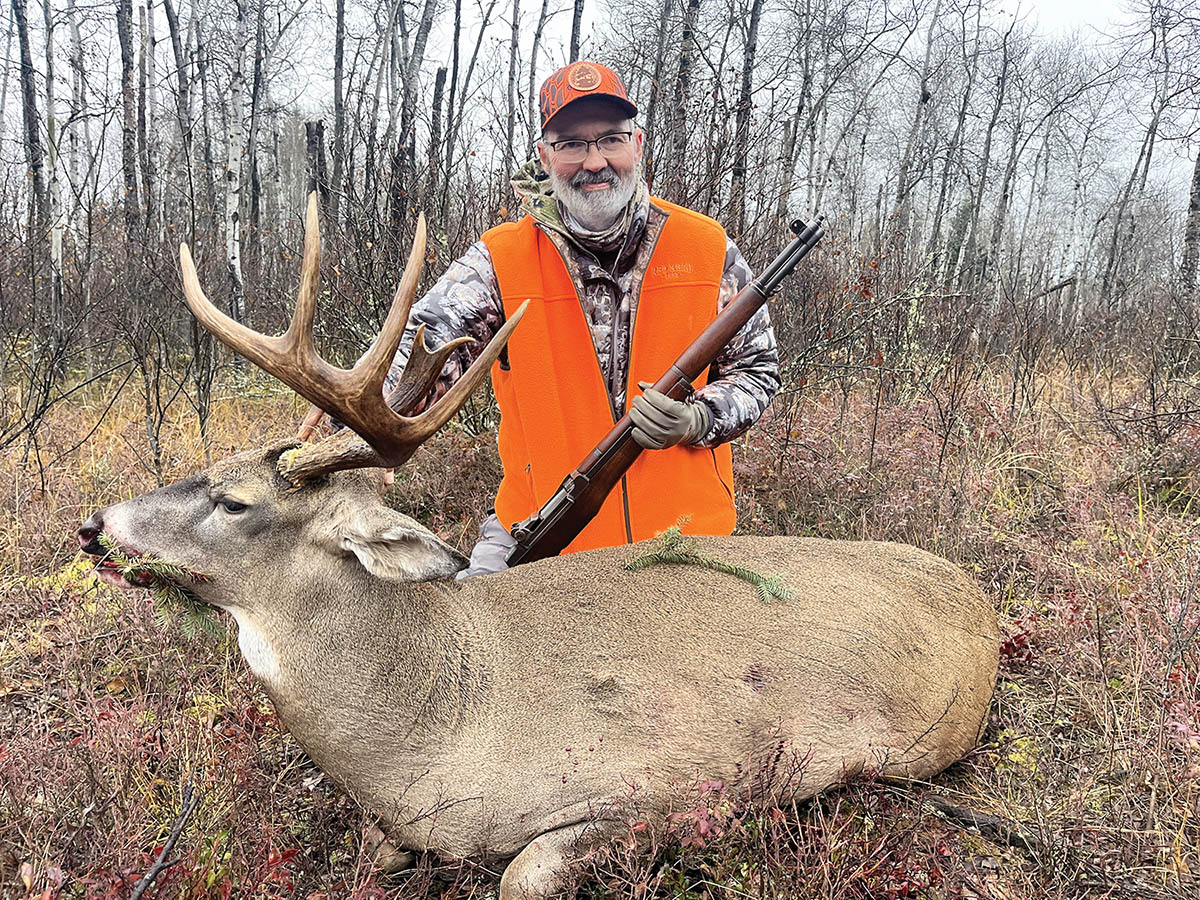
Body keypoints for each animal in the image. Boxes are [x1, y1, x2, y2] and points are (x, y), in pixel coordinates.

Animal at [78, 196, 1000, 900]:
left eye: (235, 502)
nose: (95, 527)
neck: (440, 722)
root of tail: (982, 599)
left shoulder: (664, 785)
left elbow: (523, 871)